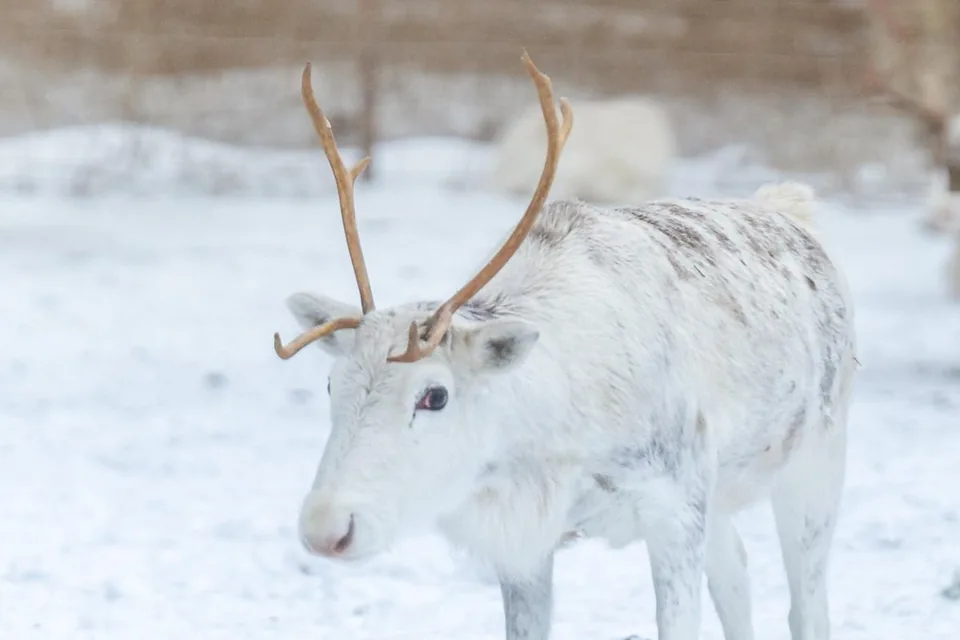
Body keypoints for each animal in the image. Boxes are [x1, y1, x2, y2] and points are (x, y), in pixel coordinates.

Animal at [274, 50, 858, 640]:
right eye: (332, 384)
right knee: (736, 574)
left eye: (434, 394)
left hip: (815, 460)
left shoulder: (675, 504)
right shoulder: (525, 545)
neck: (554, 432)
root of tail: (791, 209)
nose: (327, 528)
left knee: (807, 605)